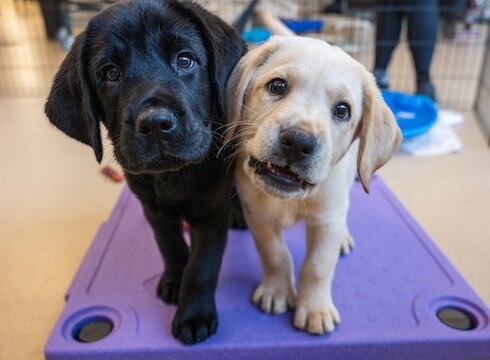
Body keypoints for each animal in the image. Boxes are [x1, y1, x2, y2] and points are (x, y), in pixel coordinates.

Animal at [44, 0, 247, 344]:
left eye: (184, 60)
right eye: (110, 73)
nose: (155, 124)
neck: (173, 175)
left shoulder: (209, 214)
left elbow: (202, 267)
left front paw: (195, 315)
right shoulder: (153, 209)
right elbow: (171, 247)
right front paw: (175, 281)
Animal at [226, 36, 402, 334]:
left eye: (342, 110)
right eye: (277, 86)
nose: (298, 142)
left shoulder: (327, 219)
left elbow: (318, 266)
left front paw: (315, 308)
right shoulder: (258, 216)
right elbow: (275, 254)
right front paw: (277, 291)